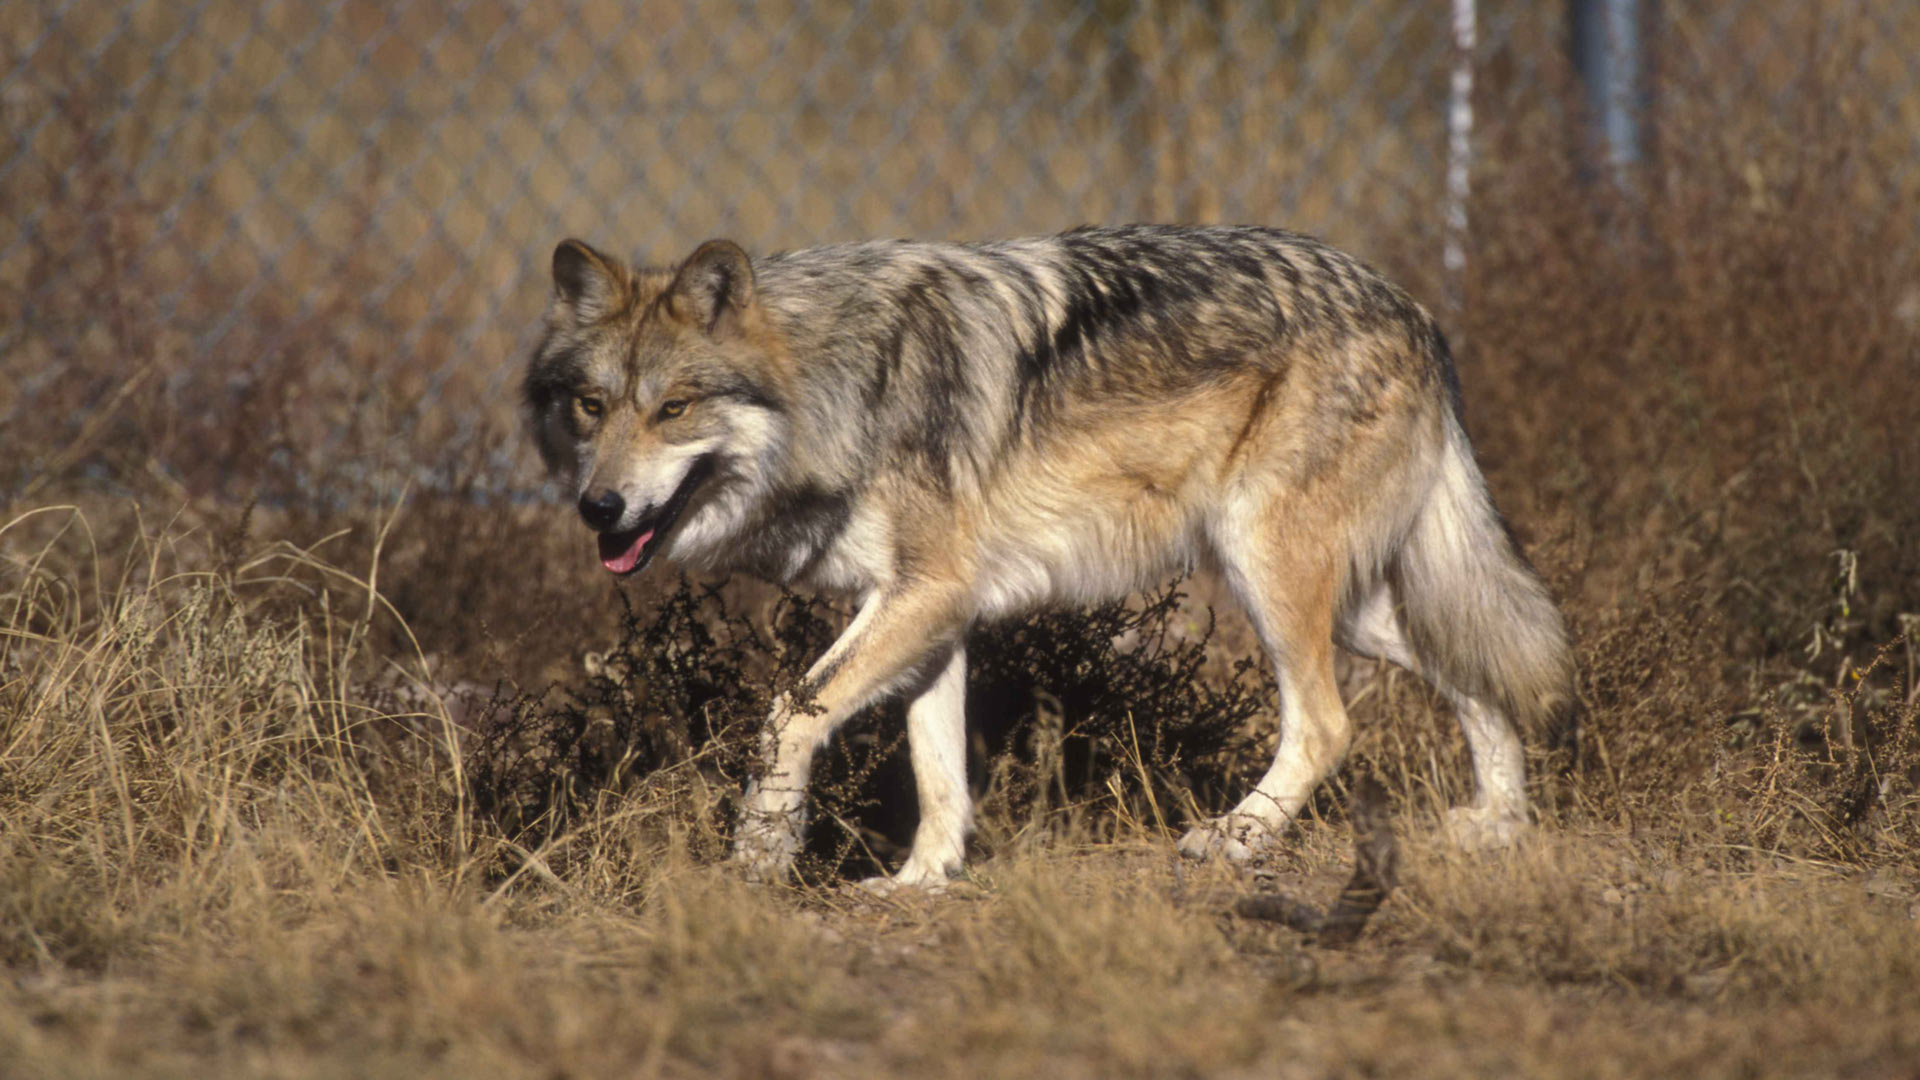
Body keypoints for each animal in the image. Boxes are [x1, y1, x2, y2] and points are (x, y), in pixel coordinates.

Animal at [522, 220, 1574, 883]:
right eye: (592, 406)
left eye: (673, 408)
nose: (599, 507)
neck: (839, 387)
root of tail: (1415, 310)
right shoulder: (929, 613)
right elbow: (939, 770)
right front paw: (920, 881)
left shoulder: (925, 596)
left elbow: (786, 716)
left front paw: (762, 857)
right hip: (1354, 605)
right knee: (1480, 670)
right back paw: (1499, 826)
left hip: (1269, 577)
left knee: (1328, 725)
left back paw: (1234, 840)